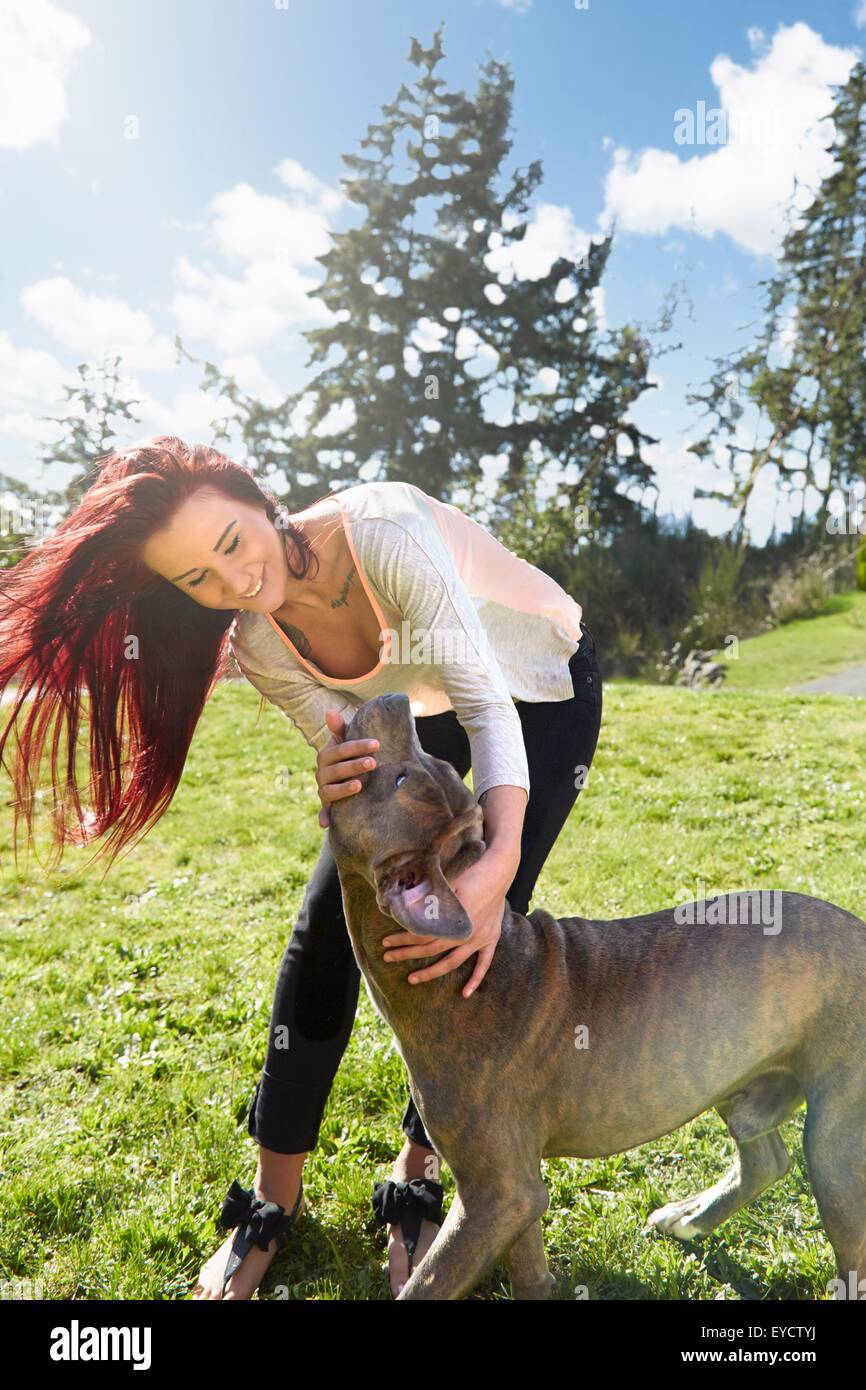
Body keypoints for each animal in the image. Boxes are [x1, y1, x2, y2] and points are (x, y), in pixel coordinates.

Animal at [326, 689, 866, 1295]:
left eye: (401, 776)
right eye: (422, 766)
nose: (397, 698)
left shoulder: (496, 1194)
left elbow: (430, 1281)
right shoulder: (516, 1193)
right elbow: (529, 1267)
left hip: (835, 1139)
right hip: (734, 1075)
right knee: (766, 1157)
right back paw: (686, 1219)